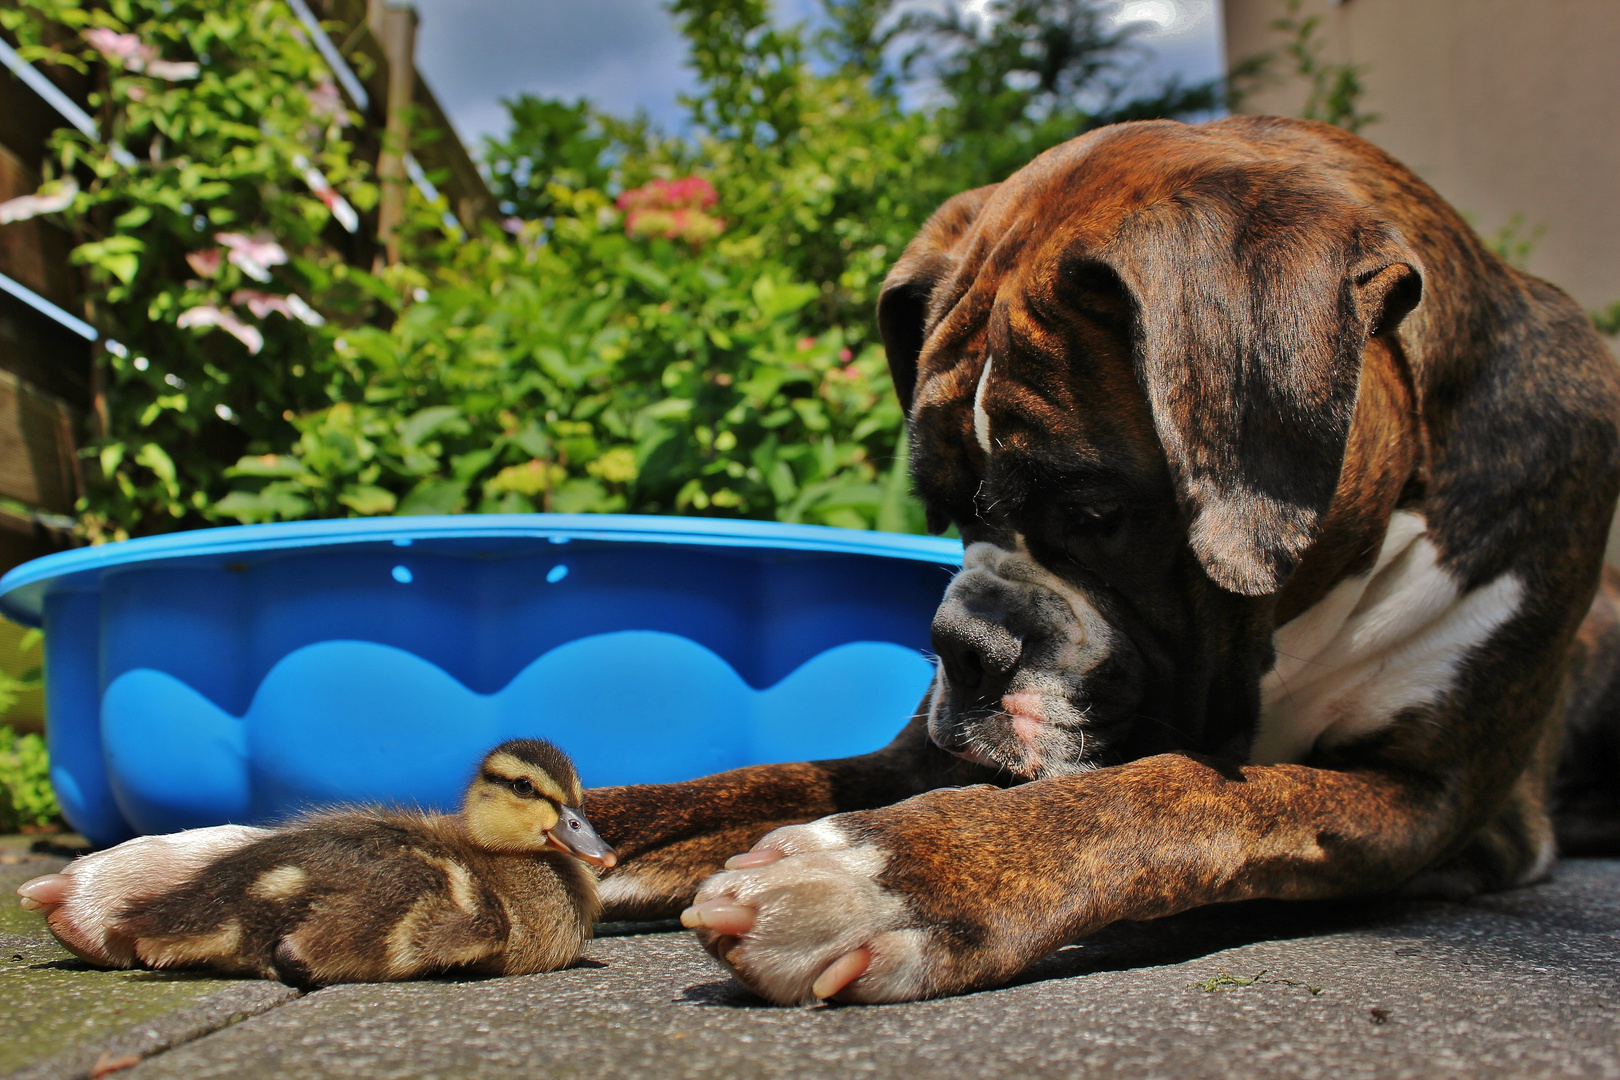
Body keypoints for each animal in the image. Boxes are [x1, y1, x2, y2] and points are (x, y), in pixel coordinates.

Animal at [22, 116, 1620, 1003]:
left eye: (1100, 510)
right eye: (947, 501)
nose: (962, 644)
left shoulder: (1425, 802)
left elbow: (1175, 796)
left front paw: (899, 878)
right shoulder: (905, 754)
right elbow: (697, 792)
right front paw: (214, 860)